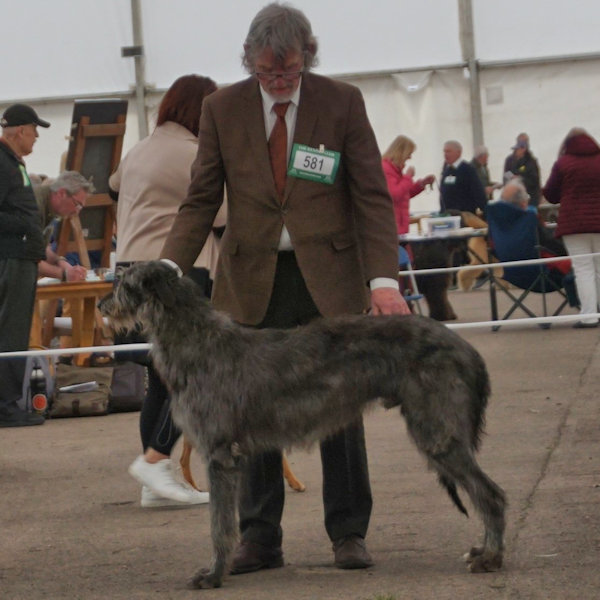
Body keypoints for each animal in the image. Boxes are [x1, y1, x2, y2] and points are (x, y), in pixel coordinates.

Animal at [102, 260, 506, 588]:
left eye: (123, 282)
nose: (102, 305)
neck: (199, 342)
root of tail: (467, 348)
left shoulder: (220, 454)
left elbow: (219, 523)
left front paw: (213, 574)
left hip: (437, 430)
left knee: (491, 494)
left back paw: (490, 557)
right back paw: (484, 552)